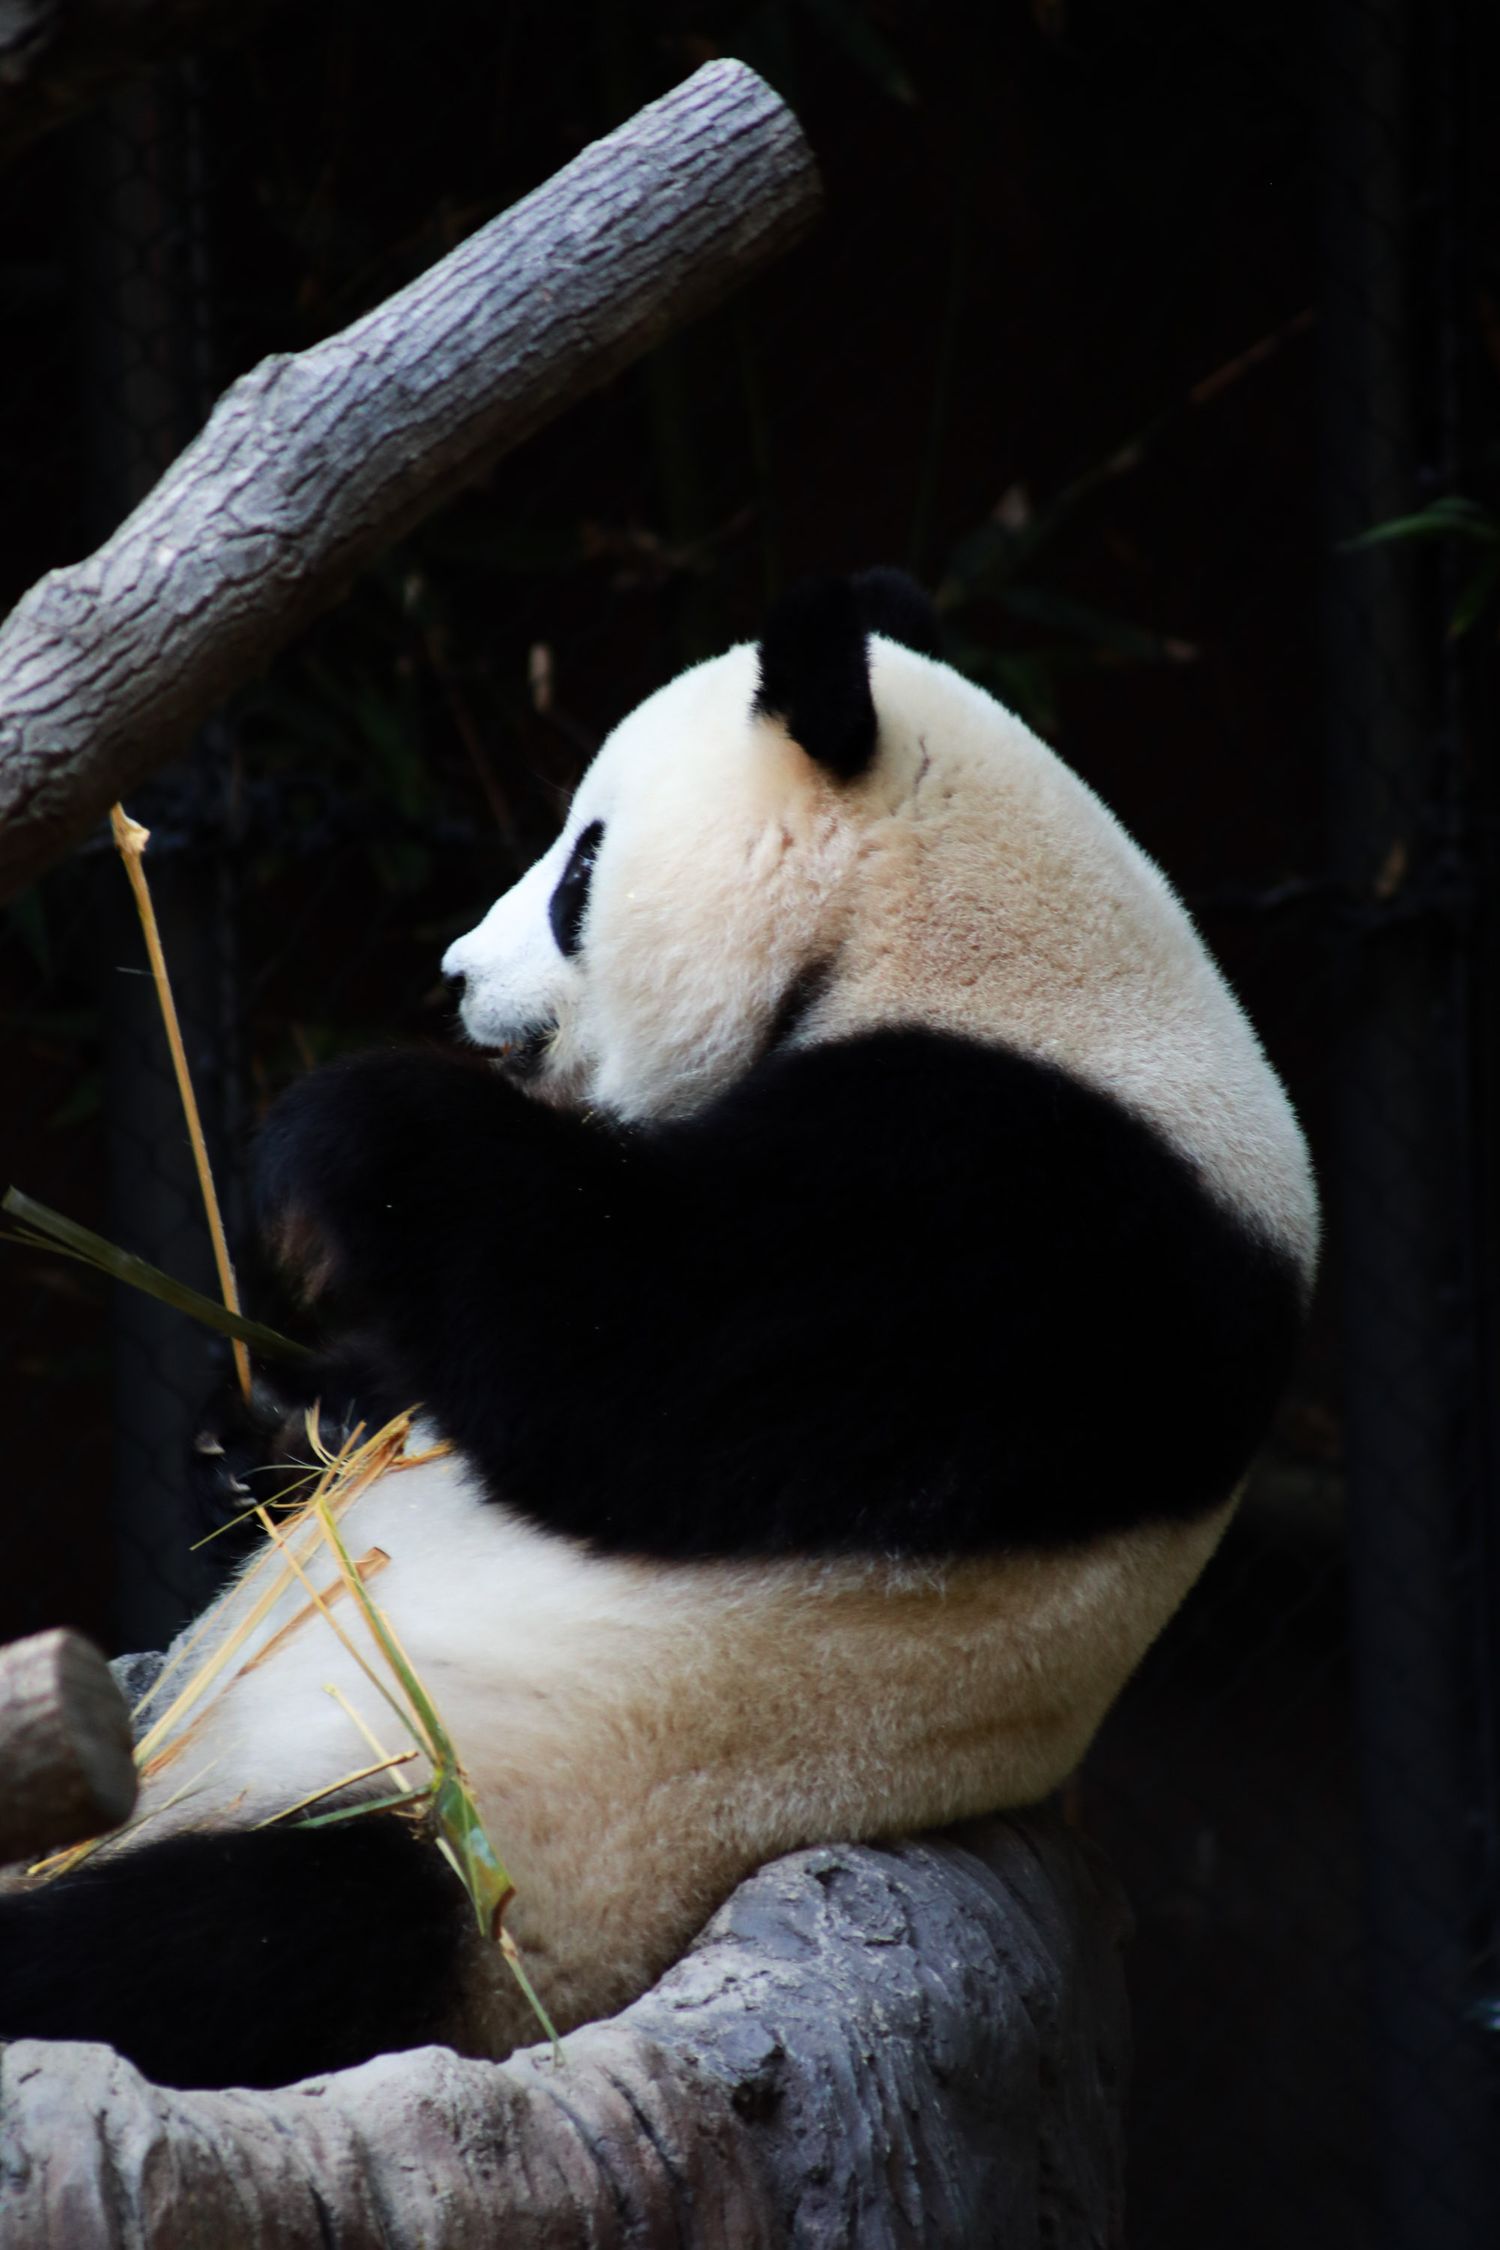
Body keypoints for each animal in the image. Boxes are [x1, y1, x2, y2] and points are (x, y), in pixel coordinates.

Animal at [0, 568, 1317, 2092]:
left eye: (581, 868)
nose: (455, 971)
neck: (970, 938)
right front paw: (262, 1433)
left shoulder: (1035, 1221)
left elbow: (638, 1362)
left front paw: (335, 1143)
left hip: (479, 1845)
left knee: (253, 1933)